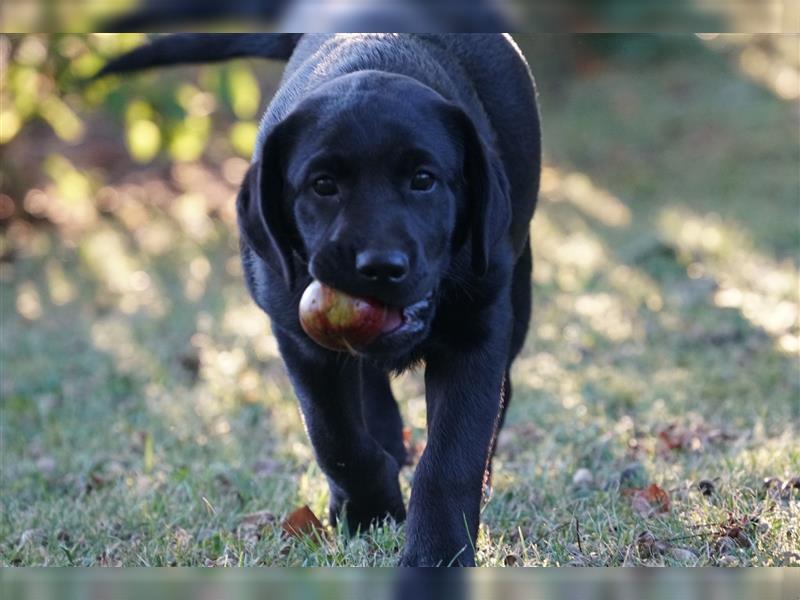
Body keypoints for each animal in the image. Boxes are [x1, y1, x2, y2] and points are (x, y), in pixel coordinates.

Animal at [97, 32, 540, 568]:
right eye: (323, 185)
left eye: (423, 180)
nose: (380, 265)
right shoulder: (298, 338)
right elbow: (336, 437)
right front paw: (370, 511)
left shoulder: (477, 329)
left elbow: (453, 454)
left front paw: (436, 553)